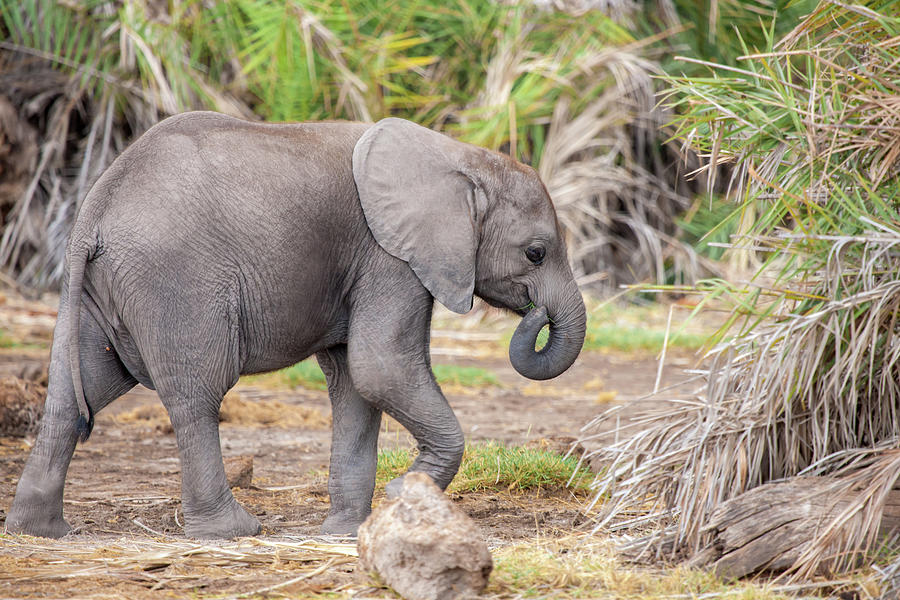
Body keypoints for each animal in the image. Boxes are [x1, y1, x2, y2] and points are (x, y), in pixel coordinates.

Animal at [7, 111, 588, 540]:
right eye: (536, 253)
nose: (537, 314)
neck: (460, 158)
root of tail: (95, 212)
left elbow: (356, 383)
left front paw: (347, 530)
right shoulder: (388, 258)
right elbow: (381, 368)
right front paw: (404, 495)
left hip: (96, 290)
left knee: (75, 393)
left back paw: (41, 530)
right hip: (174, 282)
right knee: (197, 395)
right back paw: (232, 531)